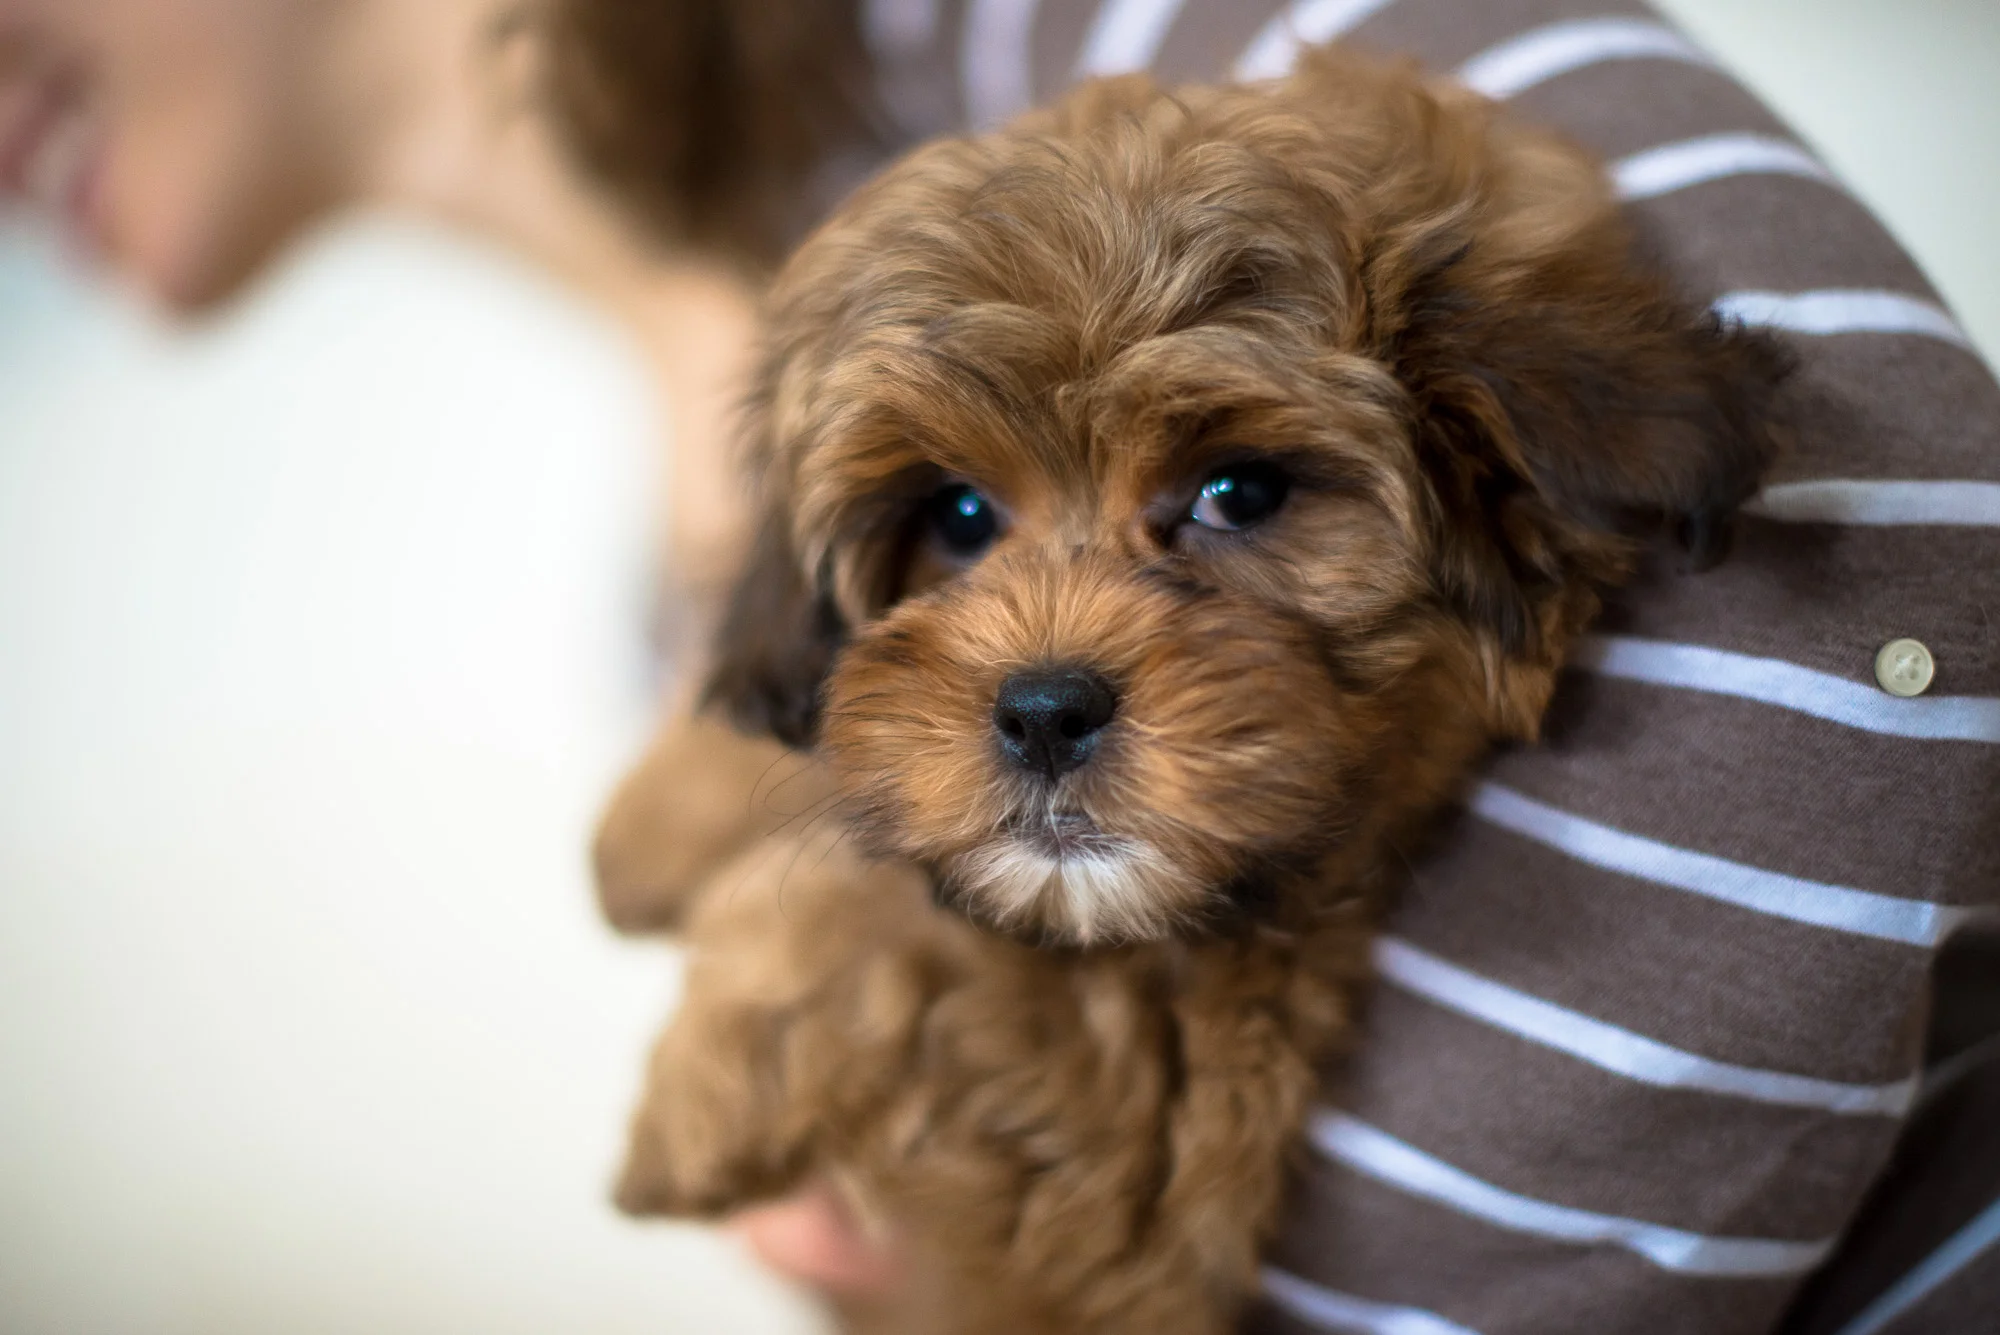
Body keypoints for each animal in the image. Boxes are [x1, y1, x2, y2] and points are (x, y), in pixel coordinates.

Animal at [616, 46, 1792, 1327]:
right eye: (958, 517)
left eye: (1239, 493)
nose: (1041, 713)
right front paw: (653, 824)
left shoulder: (1142, 1139)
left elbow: (926, 928)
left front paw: (697, 1094)